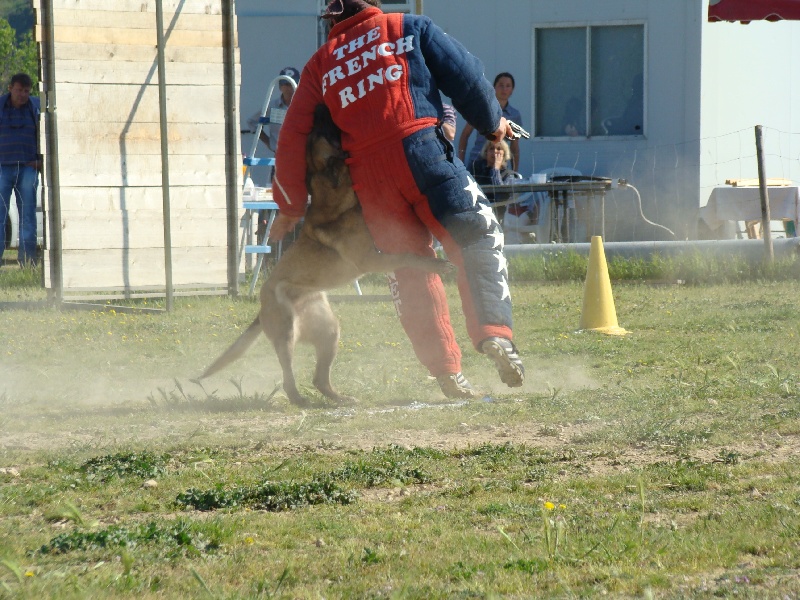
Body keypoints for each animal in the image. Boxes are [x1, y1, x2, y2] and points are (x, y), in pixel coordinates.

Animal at [200, 105, 450, 406]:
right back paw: (300, 400)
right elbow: (408, 256)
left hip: (329, 331)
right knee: (288, 377)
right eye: (326, 133)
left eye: (318, 131)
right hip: (287, 333)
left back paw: (341, 398)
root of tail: (261, 310)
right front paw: (439, 264)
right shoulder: (373, 258)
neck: (334, 199)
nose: (320, 108)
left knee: (319, 379)